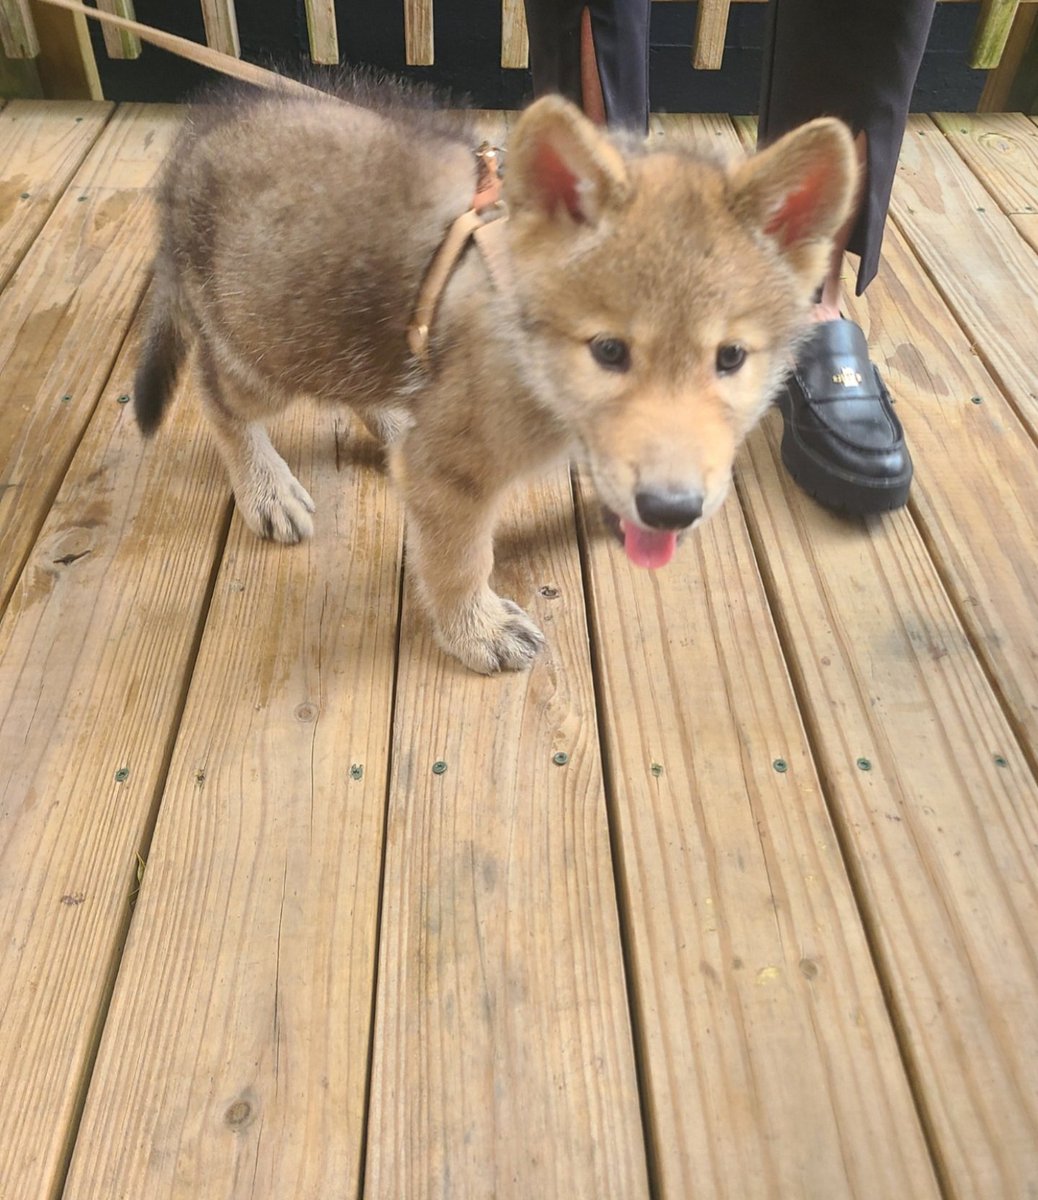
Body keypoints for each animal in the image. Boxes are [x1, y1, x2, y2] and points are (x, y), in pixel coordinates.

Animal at [134, 79, 856, 673]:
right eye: (609, 351)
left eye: (730, 358)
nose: (672, 510)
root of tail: (195, 142)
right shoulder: (450, 474)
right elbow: (460, 562)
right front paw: (476, 631)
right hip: (268, 344)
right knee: (217, 393)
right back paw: (266, 487)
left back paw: (392, 415)